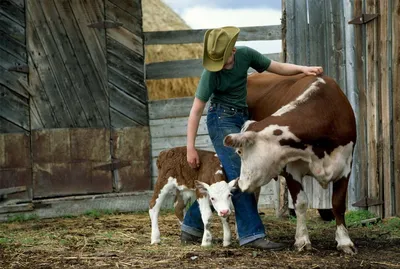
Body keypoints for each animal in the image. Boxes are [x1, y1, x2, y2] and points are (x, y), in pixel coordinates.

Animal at [223, 71, 358, 253]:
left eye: (239, 151)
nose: (239, 184)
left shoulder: (345, 166)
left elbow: (338, 203)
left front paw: (344, 241)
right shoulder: (291, 170)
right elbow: (300, 203)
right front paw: (302, 240)